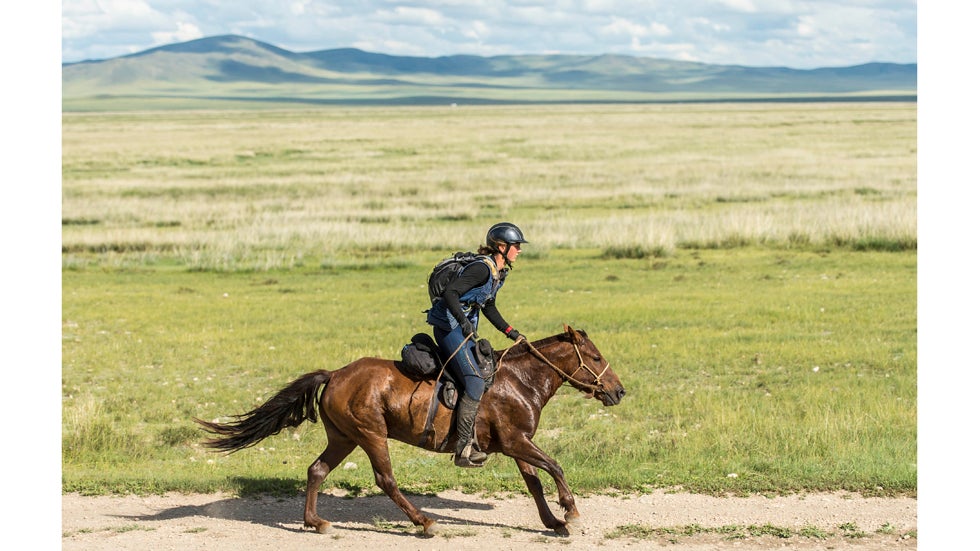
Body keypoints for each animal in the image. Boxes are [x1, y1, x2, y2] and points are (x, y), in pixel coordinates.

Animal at [195, 324, 626, 537]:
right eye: (595, 357)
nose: (619, 390)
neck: (521, 380)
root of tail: (335, 374)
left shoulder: (515, 444)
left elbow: (535, 482)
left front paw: (553, 523)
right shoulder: (517, 441)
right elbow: (555, 468)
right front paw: (571, 513)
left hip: (344, 438)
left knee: (316, 471)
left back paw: (315, 522)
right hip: (370, 435)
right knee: (385, 480)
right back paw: (423, 522)